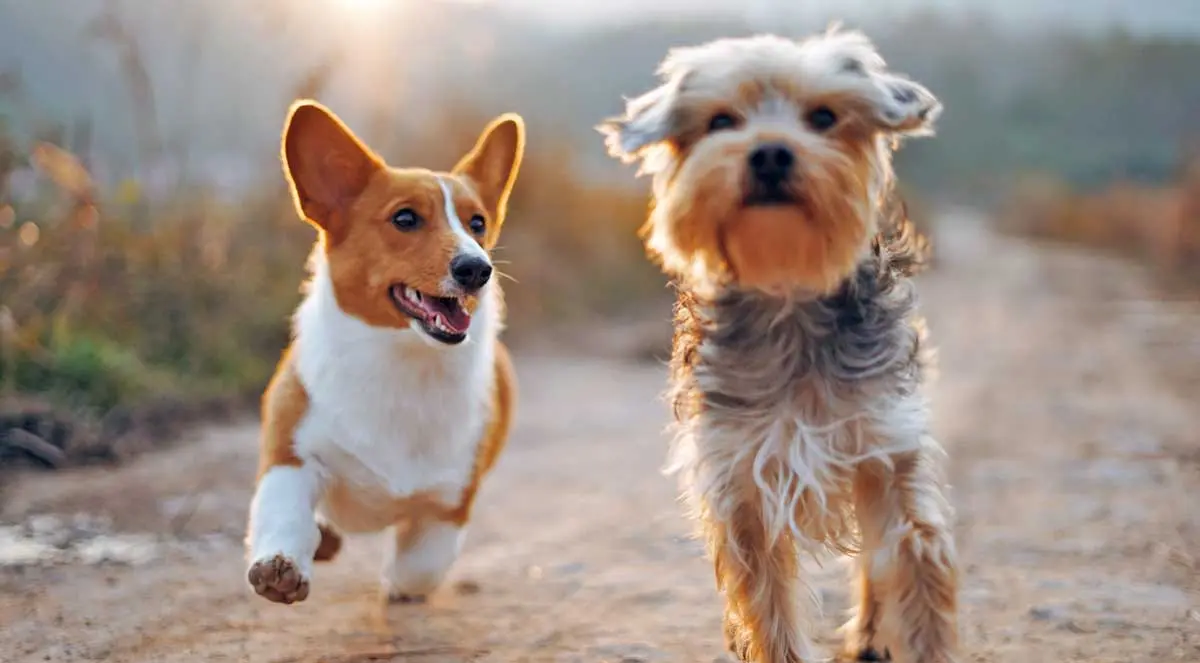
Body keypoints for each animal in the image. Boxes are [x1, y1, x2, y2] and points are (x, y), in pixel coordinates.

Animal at [246, 99, 523, 605]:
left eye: (477, 224)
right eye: (405, 219)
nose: (477, 269)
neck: (402, 361)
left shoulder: (449, 503)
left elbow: (420, 568)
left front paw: (396, 584)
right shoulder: (292, 455)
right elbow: (285, 513)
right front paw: (281, 566)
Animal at [597, 27, 955, 663]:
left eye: (824, 116)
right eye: (721, 121)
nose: (769, 153)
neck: (788, 291)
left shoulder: (886, 447)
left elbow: (914, 561)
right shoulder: (740, 478)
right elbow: (768, 604)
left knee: (873, 561)